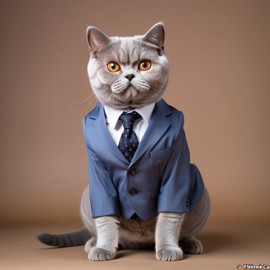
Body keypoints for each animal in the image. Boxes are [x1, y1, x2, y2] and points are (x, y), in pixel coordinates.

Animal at [37, 23, 211, 262]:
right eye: (113, 66)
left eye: (145, 65)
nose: (129, 75)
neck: (129, 113)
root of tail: (140, 242)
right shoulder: (97, 169)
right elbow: (105, 219)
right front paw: (103, 249)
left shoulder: (176, 161)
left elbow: (169, 216)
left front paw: (168, 249)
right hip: (87, 193)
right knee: (101, 229)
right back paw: (94, 244)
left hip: (196, 179)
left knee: (184, 226)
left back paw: (189, 244)